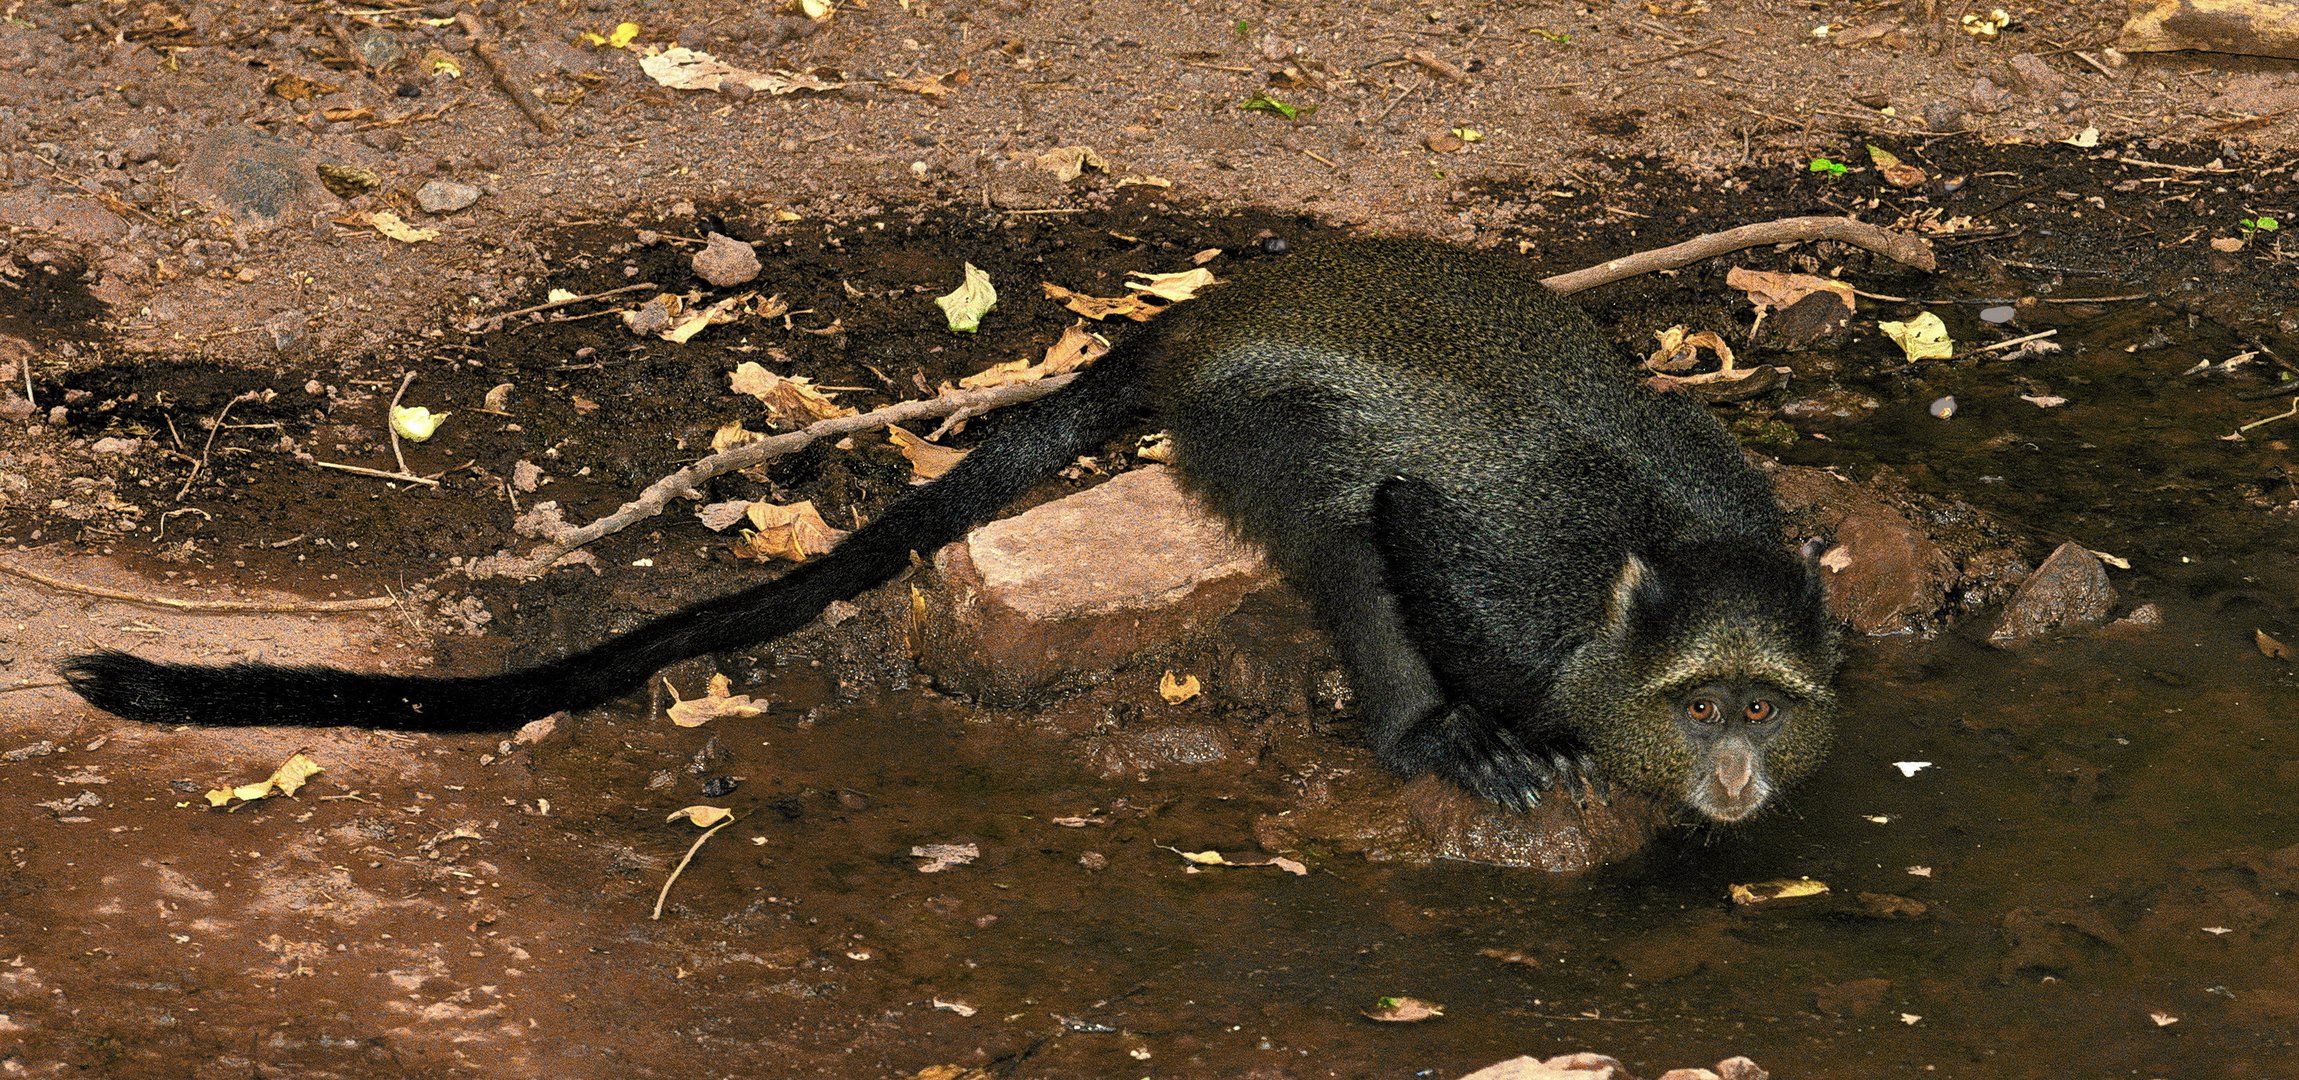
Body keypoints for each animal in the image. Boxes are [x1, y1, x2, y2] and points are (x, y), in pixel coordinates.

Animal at [62, 236, 1839, 822]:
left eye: (1762, 711)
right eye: (1703, 706)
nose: (1733, 773)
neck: (1643, 558)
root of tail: (1196, 328)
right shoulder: (1500, 578)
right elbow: (1402, 532)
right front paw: (1461, 739)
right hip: (1257, 433)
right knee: (1342, 532)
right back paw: (1426, 733)